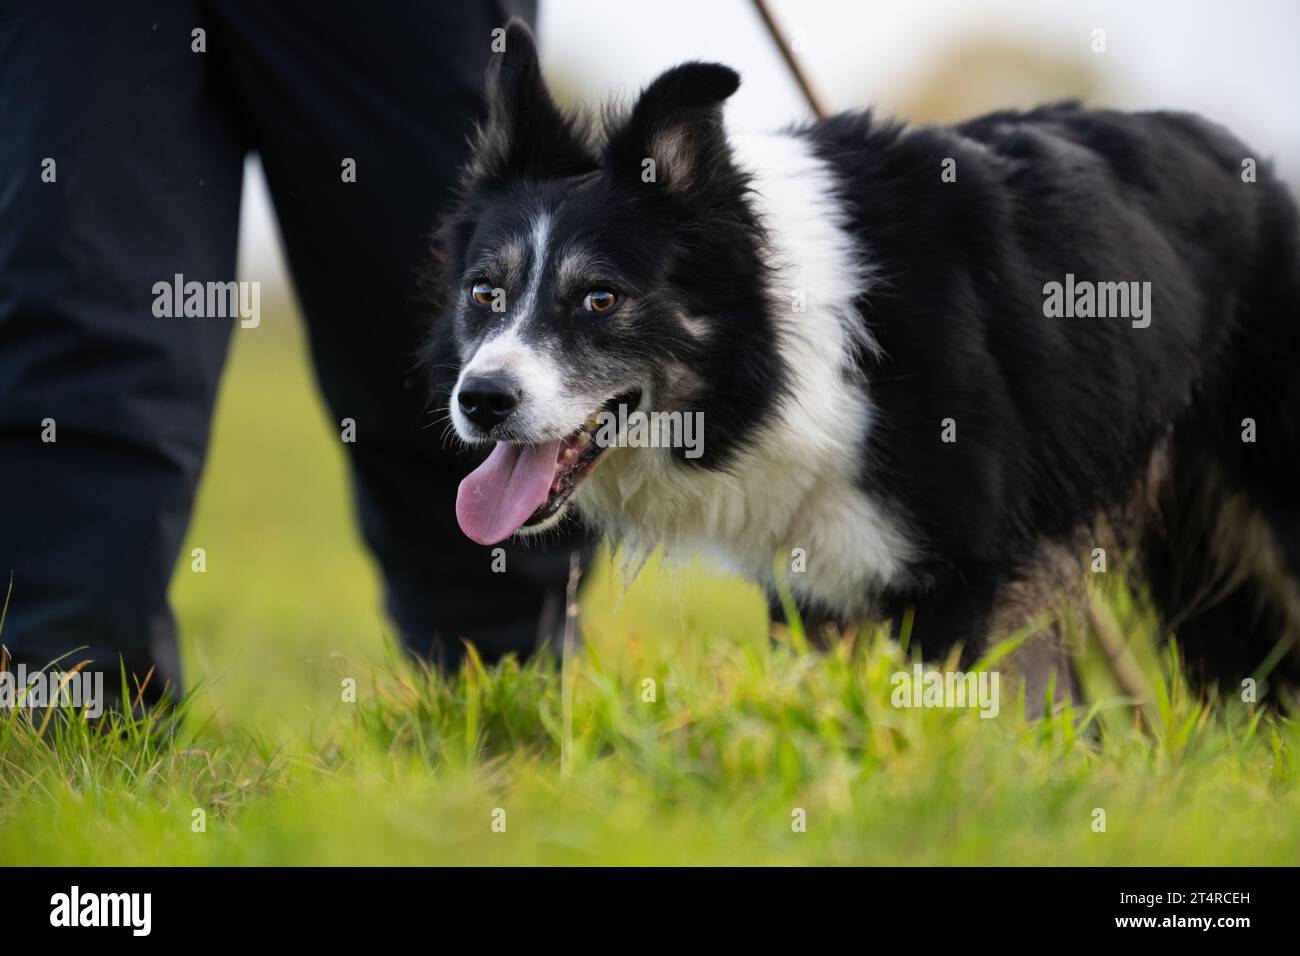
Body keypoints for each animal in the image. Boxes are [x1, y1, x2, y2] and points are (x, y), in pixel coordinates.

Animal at [431, 18, 1300, 691]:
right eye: (485, 292)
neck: (786, 353)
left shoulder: (961, 581)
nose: (480, 402)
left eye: (601, 299)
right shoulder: (810, 591)